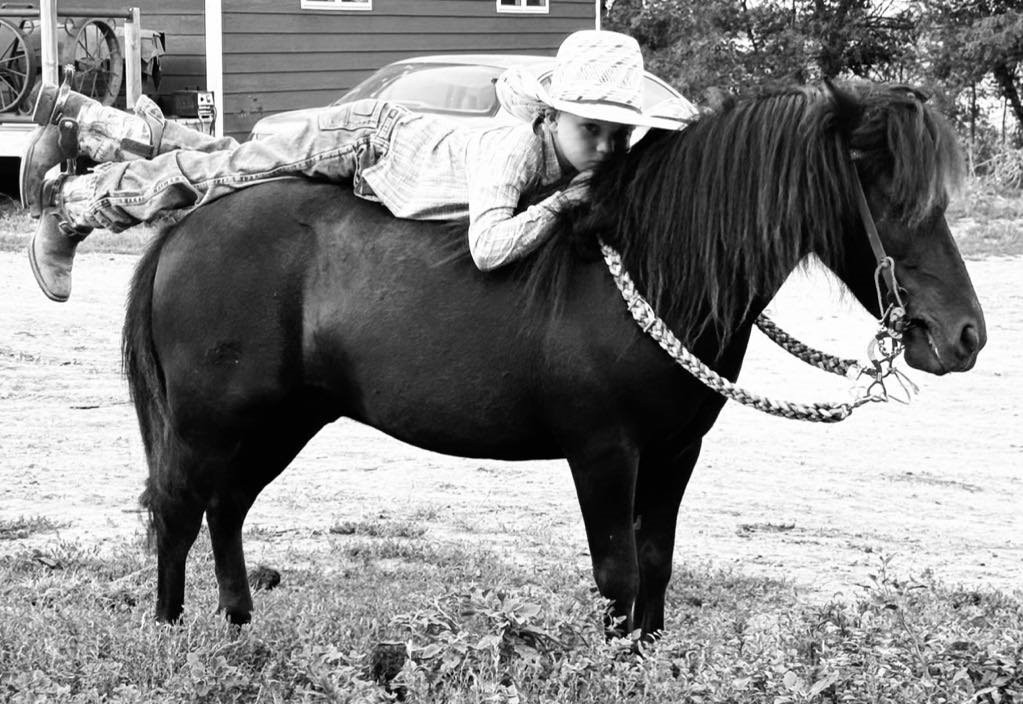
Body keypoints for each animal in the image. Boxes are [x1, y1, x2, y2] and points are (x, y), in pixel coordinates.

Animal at [122, 81, 985, 636]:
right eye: (886, 195)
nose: (965, 336)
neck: (649, 275)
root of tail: (187, 228)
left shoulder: (673, 454)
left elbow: (655, 568)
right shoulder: (602, 453)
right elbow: (616, 576)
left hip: (283, 420)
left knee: (227, 505)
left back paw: (240, 628)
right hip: (209, 421)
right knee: (179, 508)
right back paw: (170, 635)